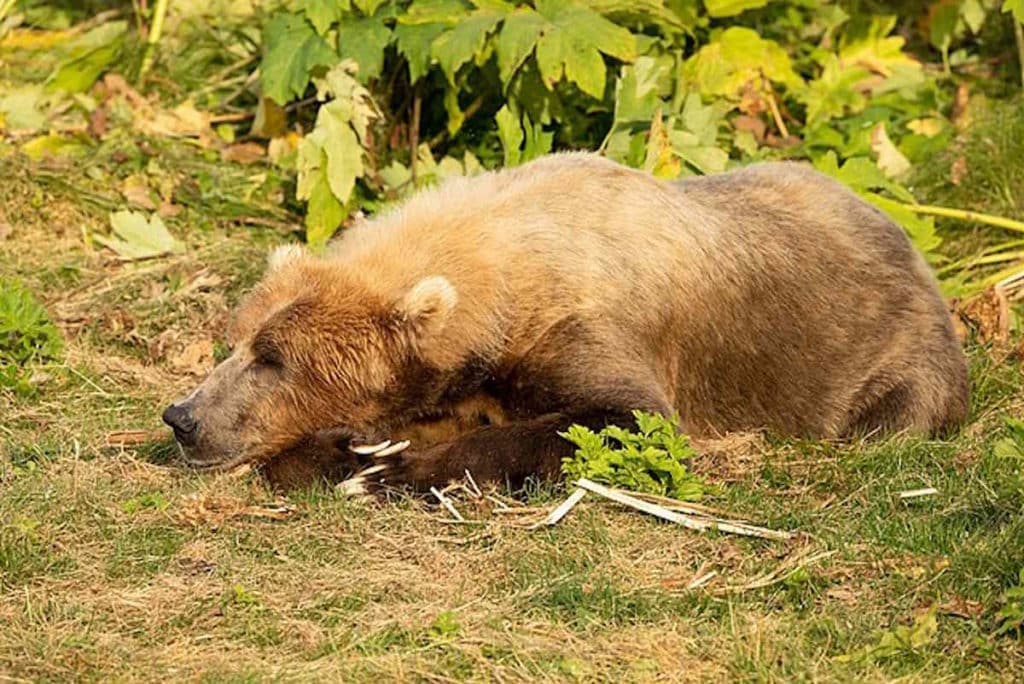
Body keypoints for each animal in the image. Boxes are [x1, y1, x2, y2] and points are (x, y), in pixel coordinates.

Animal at [162, 152, 969, 493]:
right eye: (238, 340)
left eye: (275, 358)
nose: (184, 417)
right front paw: (352, 450)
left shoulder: (584, 329)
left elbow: (620, 419)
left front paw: (391, 468)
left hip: (889, 353)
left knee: (895, 414)